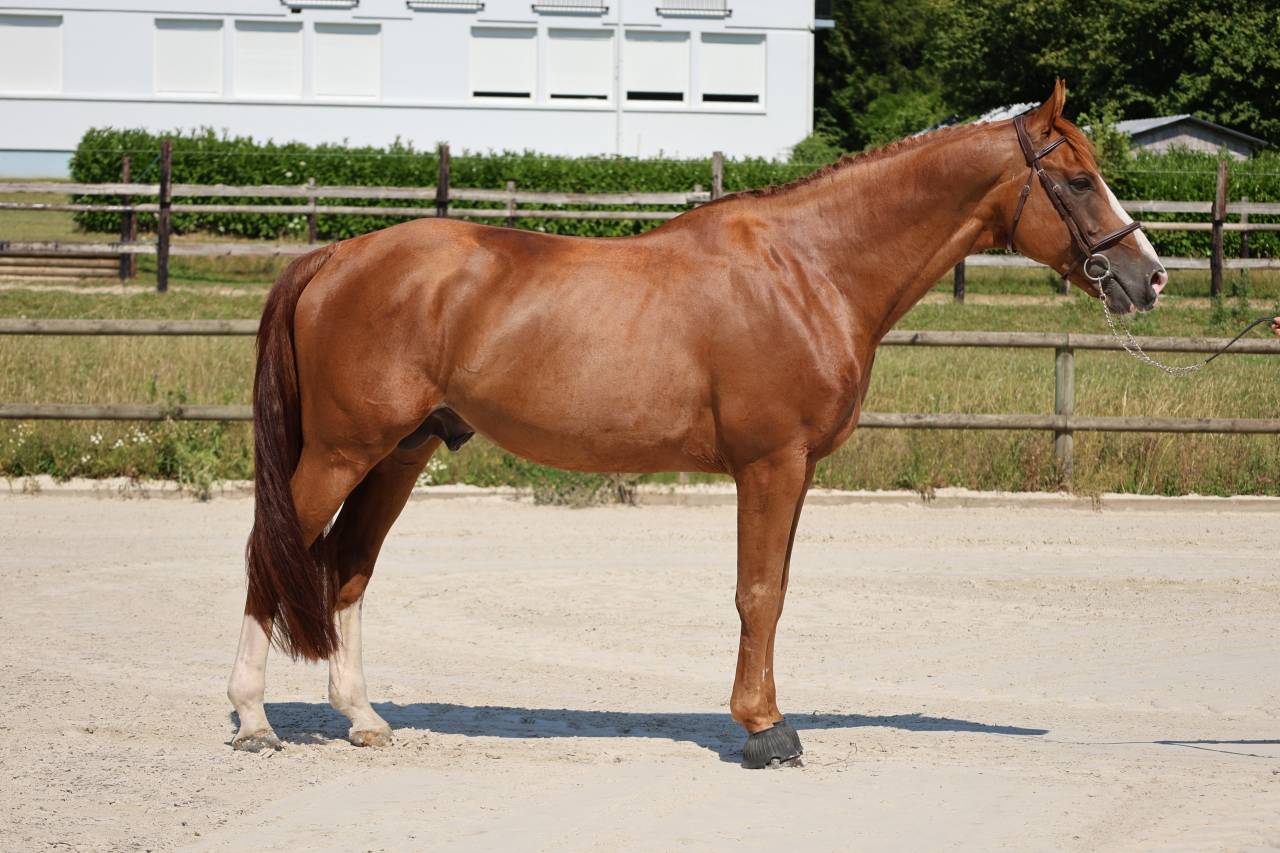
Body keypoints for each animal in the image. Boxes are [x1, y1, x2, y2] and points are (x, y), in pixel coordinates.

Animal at [227, 81, 1167, 768]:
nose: (1148, 274)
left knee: (347, 568)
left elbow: (775, 590)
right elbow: (759, 593)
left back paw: (362, 717)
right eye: (1077, 179)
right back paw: (254, 719)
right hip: (342, 452)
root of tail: (337, 254)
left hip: (400, 453)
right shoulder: (771, 462)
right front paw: (765, 729)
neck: (810, 267)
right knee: (269, 555)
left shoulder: (796, 469)